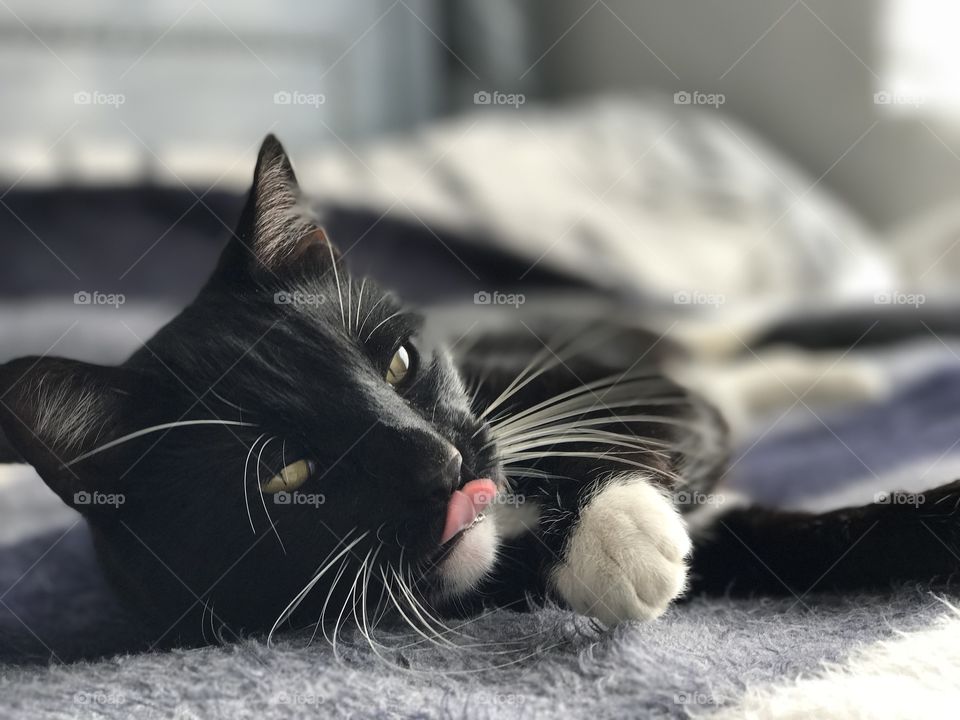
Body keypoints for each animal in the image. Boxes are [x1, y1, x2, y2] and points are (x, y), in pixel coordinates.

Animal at [1, 136, 960, 648]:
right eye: (285, 475)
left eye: (397, 363)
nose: (441, 463)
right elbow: (798, 543)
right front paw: (626, 546)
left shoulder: (596, 388)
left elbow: (674, 414)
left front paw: (615, 532)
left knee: (723, 352)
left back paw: (834, 372)